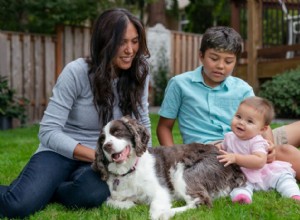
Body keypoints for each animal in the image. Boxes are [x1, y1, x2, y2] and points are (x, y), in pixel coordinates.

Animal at [92, 116, 246, 219]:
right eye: (102, 139)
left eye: (117, 132)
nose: (106, 146)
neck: (129, 171)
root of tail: (233, 165)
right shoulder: (114, 196)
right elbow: (109, 202)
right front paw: (131, 204)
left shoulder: (160, 190)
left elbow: (154, 210)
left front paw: (157, 212)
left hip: (183, 173)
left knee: (201, 202)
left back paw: (167, 213)